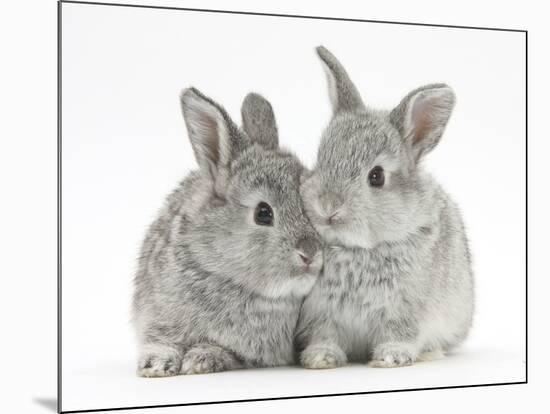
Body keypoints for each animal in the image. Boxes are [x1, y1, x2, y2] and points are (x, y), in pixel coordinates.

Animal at [133, 88, 324, 378]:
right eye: (263, 213)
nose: (310, 253)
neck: (228, 278)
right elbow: (162, 341)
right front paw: (155, 364)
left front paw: (201, 359)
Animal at [296, 46, 476, 368]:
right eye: (320, 160)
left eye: (376, 176)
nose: (328, 205)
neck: (357, 248)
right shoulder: (320, 314)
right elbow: (324, 335)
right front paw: (321, 358)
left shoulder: (405, 310)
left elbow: (400, 333)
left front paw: (391, 357)